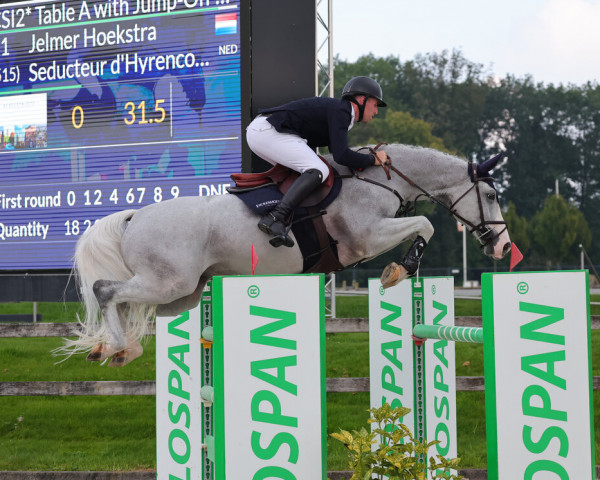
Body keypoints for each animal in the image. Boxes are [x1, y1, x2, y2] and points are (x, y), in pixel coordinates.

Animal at [62, 144, 510, 366]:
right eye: (490, 195)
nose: (503, 246)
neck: (376, 179)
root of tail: (134, 215)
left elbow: (423, 225)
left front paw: (402, 268)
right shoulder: (366, 239)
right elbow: (426, 225)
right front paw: (401, 269)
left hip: (181, 293)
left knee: (124, 301)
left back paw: (115, 348)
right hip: (168, 283)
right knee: (105, 290)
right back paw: (117, 347)